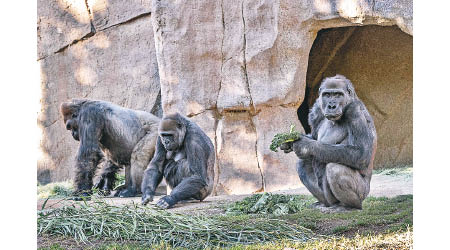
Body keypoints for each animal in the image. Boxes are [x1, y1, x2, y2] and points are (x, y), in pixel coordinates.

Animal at [282, 75, 376, 210]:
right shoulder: (317, 109)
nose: (331, 106)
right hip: (327, 199)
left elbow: (361, 153)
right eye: (327, 95)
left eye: (338, 95)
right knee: (302, 164)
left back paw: (349, 206)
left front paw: (305, 146)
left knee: (335, 168)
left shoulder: (354, 110)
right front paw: (290, 141)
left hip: (363, 193)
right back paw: (323, 203)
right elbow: (314, 137)